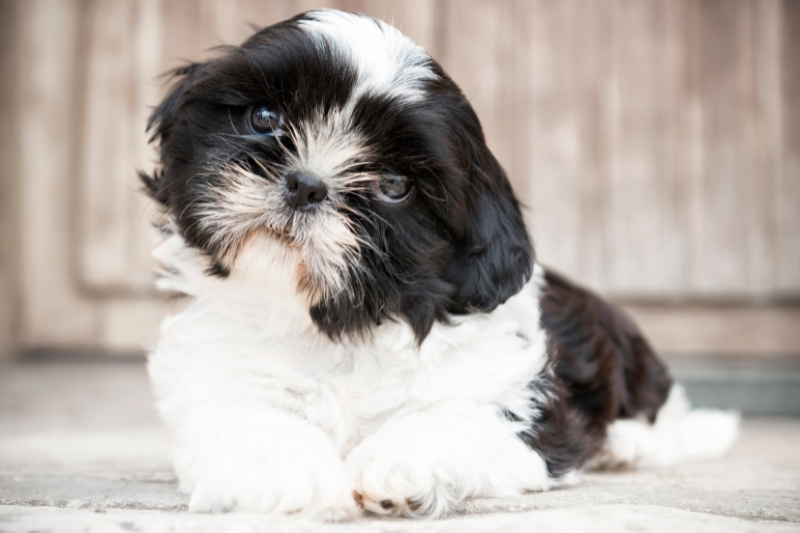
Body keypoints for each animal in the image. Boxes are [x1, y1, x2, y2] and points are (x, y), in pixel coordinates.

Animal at [142, 7, 736, 516]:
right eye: (265, 117)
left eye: (393, 186)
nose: (306, 184)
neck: (338, 324)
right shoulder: (213, 370)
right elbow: (240, 412)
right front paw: (283, 468)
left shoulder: (517, 399)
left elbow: (459, 416)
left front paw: (397, 460)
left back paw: (627, 443)